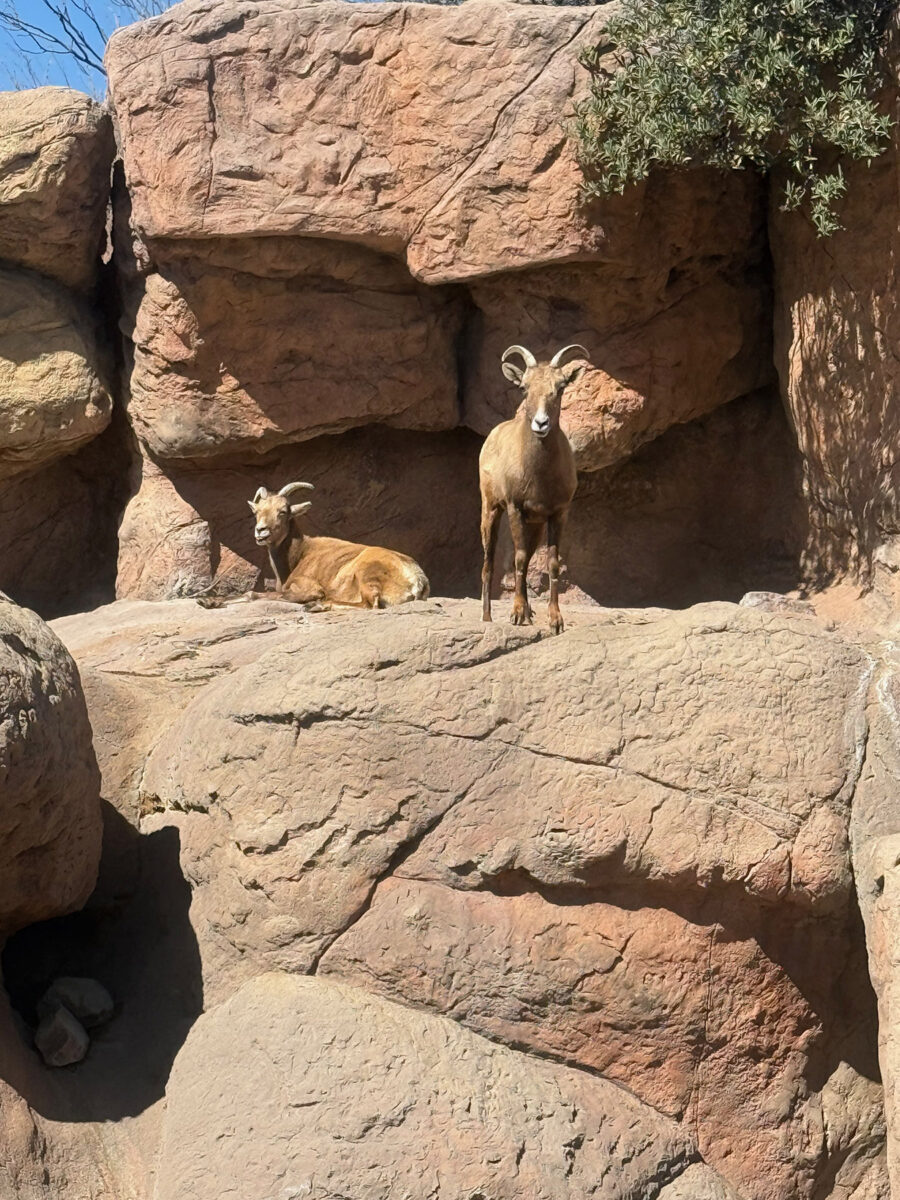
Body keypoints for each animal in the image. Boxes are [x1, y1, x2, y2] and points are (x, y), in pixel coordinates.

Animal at [244, 481, 430, 608]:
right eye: (256, 511)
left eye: (283, 512)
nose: (261, 531)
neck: (300, 554)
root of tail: (416, 578)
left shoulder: (309, 587)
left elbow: (269, 595)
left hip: (366, 576)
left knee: (370, 604)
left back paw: (317, 605)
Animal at [479, 344, 589, 634]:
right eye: (523, 388)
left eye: (560, 387)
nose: (541, 423)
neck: (540, 476)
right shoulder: (515, 508)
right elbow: (517, 560)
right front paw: (516, 615)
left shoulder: (557, 513)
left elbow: (551, 564)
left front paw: (555, 621)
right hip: (491, 510)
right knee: (489, 562)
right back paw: (488, 617)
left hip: (535, 525)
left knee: (528, 558)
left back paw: (529, 613)